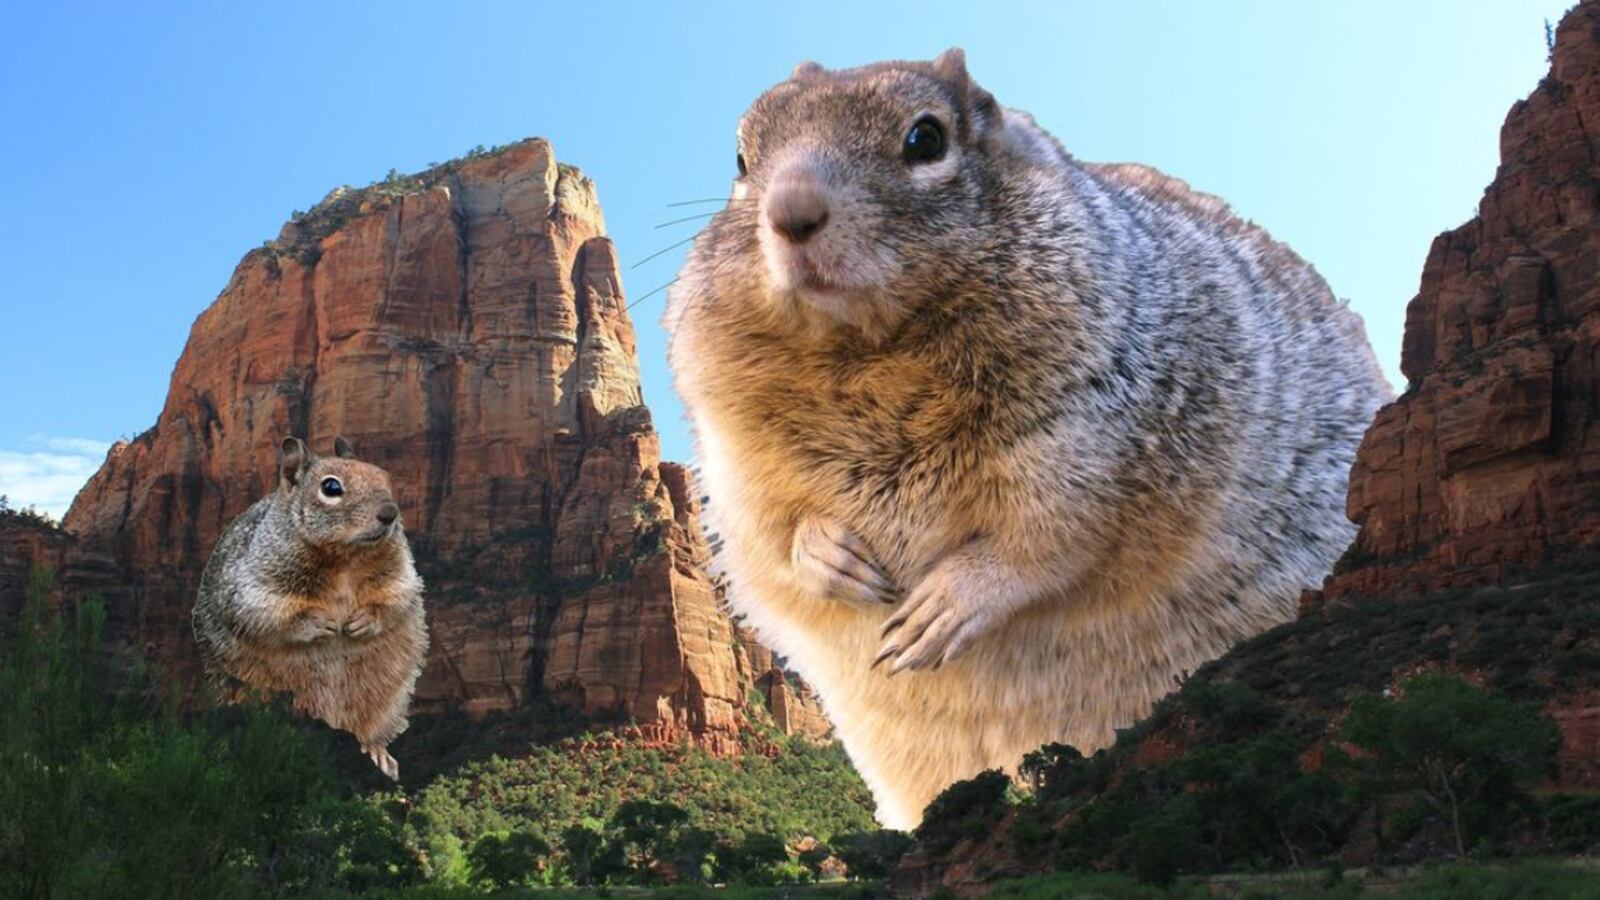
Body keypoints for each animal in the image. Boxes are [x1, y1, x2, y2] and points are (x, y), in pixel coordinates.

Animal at [192, 436, 428, 780]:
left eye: (384, 476)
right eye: (330, 487)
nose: (390, 513)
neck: (345, 558)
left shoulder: (399, 572)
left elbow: (398, 597)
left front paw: (363, 622)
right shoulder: (253, 581)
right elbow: (261, 613)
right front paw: (318, 624)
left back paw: (379, 754)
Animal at [665, 49, 1391, 829]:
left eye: (926, 138)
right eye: (742, 156)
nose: (791, 214)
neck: (868, 354)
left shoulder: (1103, 429)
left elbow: (1053, 540)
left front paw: (942, 609)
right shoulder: (736, 463)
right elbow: (770, 540)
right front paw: (832, 560)